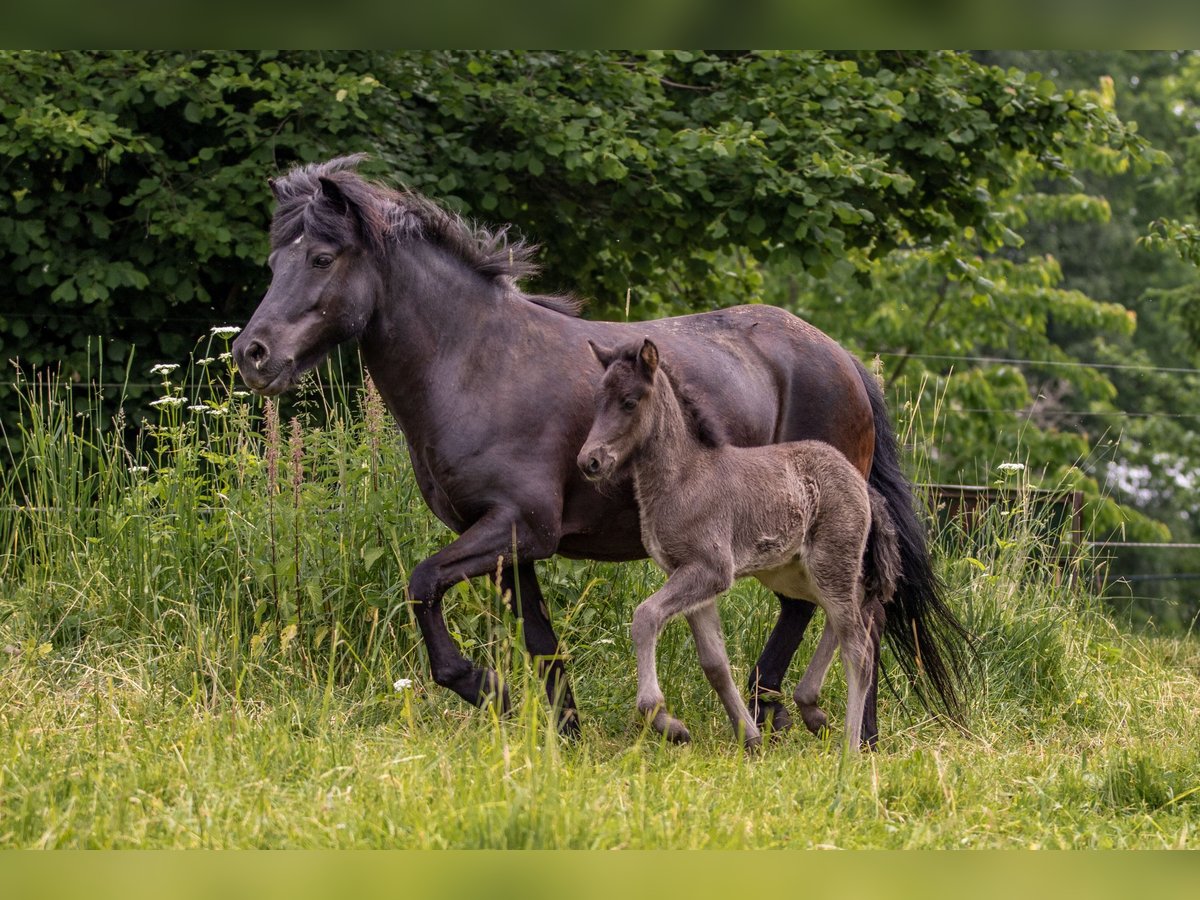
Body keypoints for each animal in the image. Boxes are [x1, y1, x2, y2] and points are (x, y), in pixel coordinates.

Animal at [576, 338, 897, 753]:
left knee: (858, 645)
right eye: (598, 399)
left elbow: (645, 616)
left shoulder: (710, 570)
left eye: (629, 401)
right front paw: (750, 736)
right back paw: (811, 708)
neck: (685, 477)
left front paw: (662, 718)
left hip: (830, 563)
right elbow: (715, 662)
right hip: (796, 573)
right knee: (850, 613)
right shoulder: (688, 576)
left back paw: (850, 746)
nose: (590, 461)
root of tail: (862, 483)